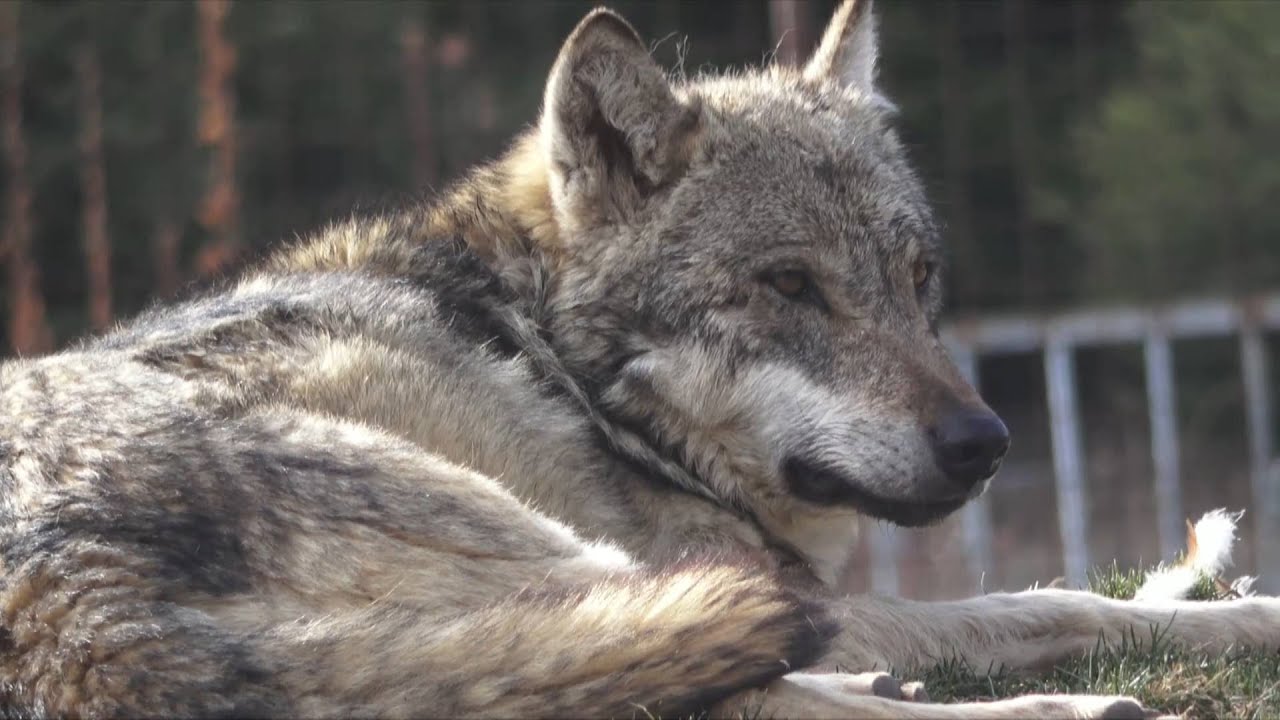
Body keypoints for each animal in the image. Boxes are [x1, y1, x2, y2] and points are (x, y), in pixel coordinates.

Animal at [2, 1, 1278, 717]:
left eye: (915, 280)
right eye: (787, 286)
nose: (984, 445)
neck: (567, 368)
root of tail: (54, 610)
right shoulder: (783, 578)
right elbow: (1032, 600)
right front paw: (1237, 620)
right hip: (544, 542)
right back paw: (1066, 710)